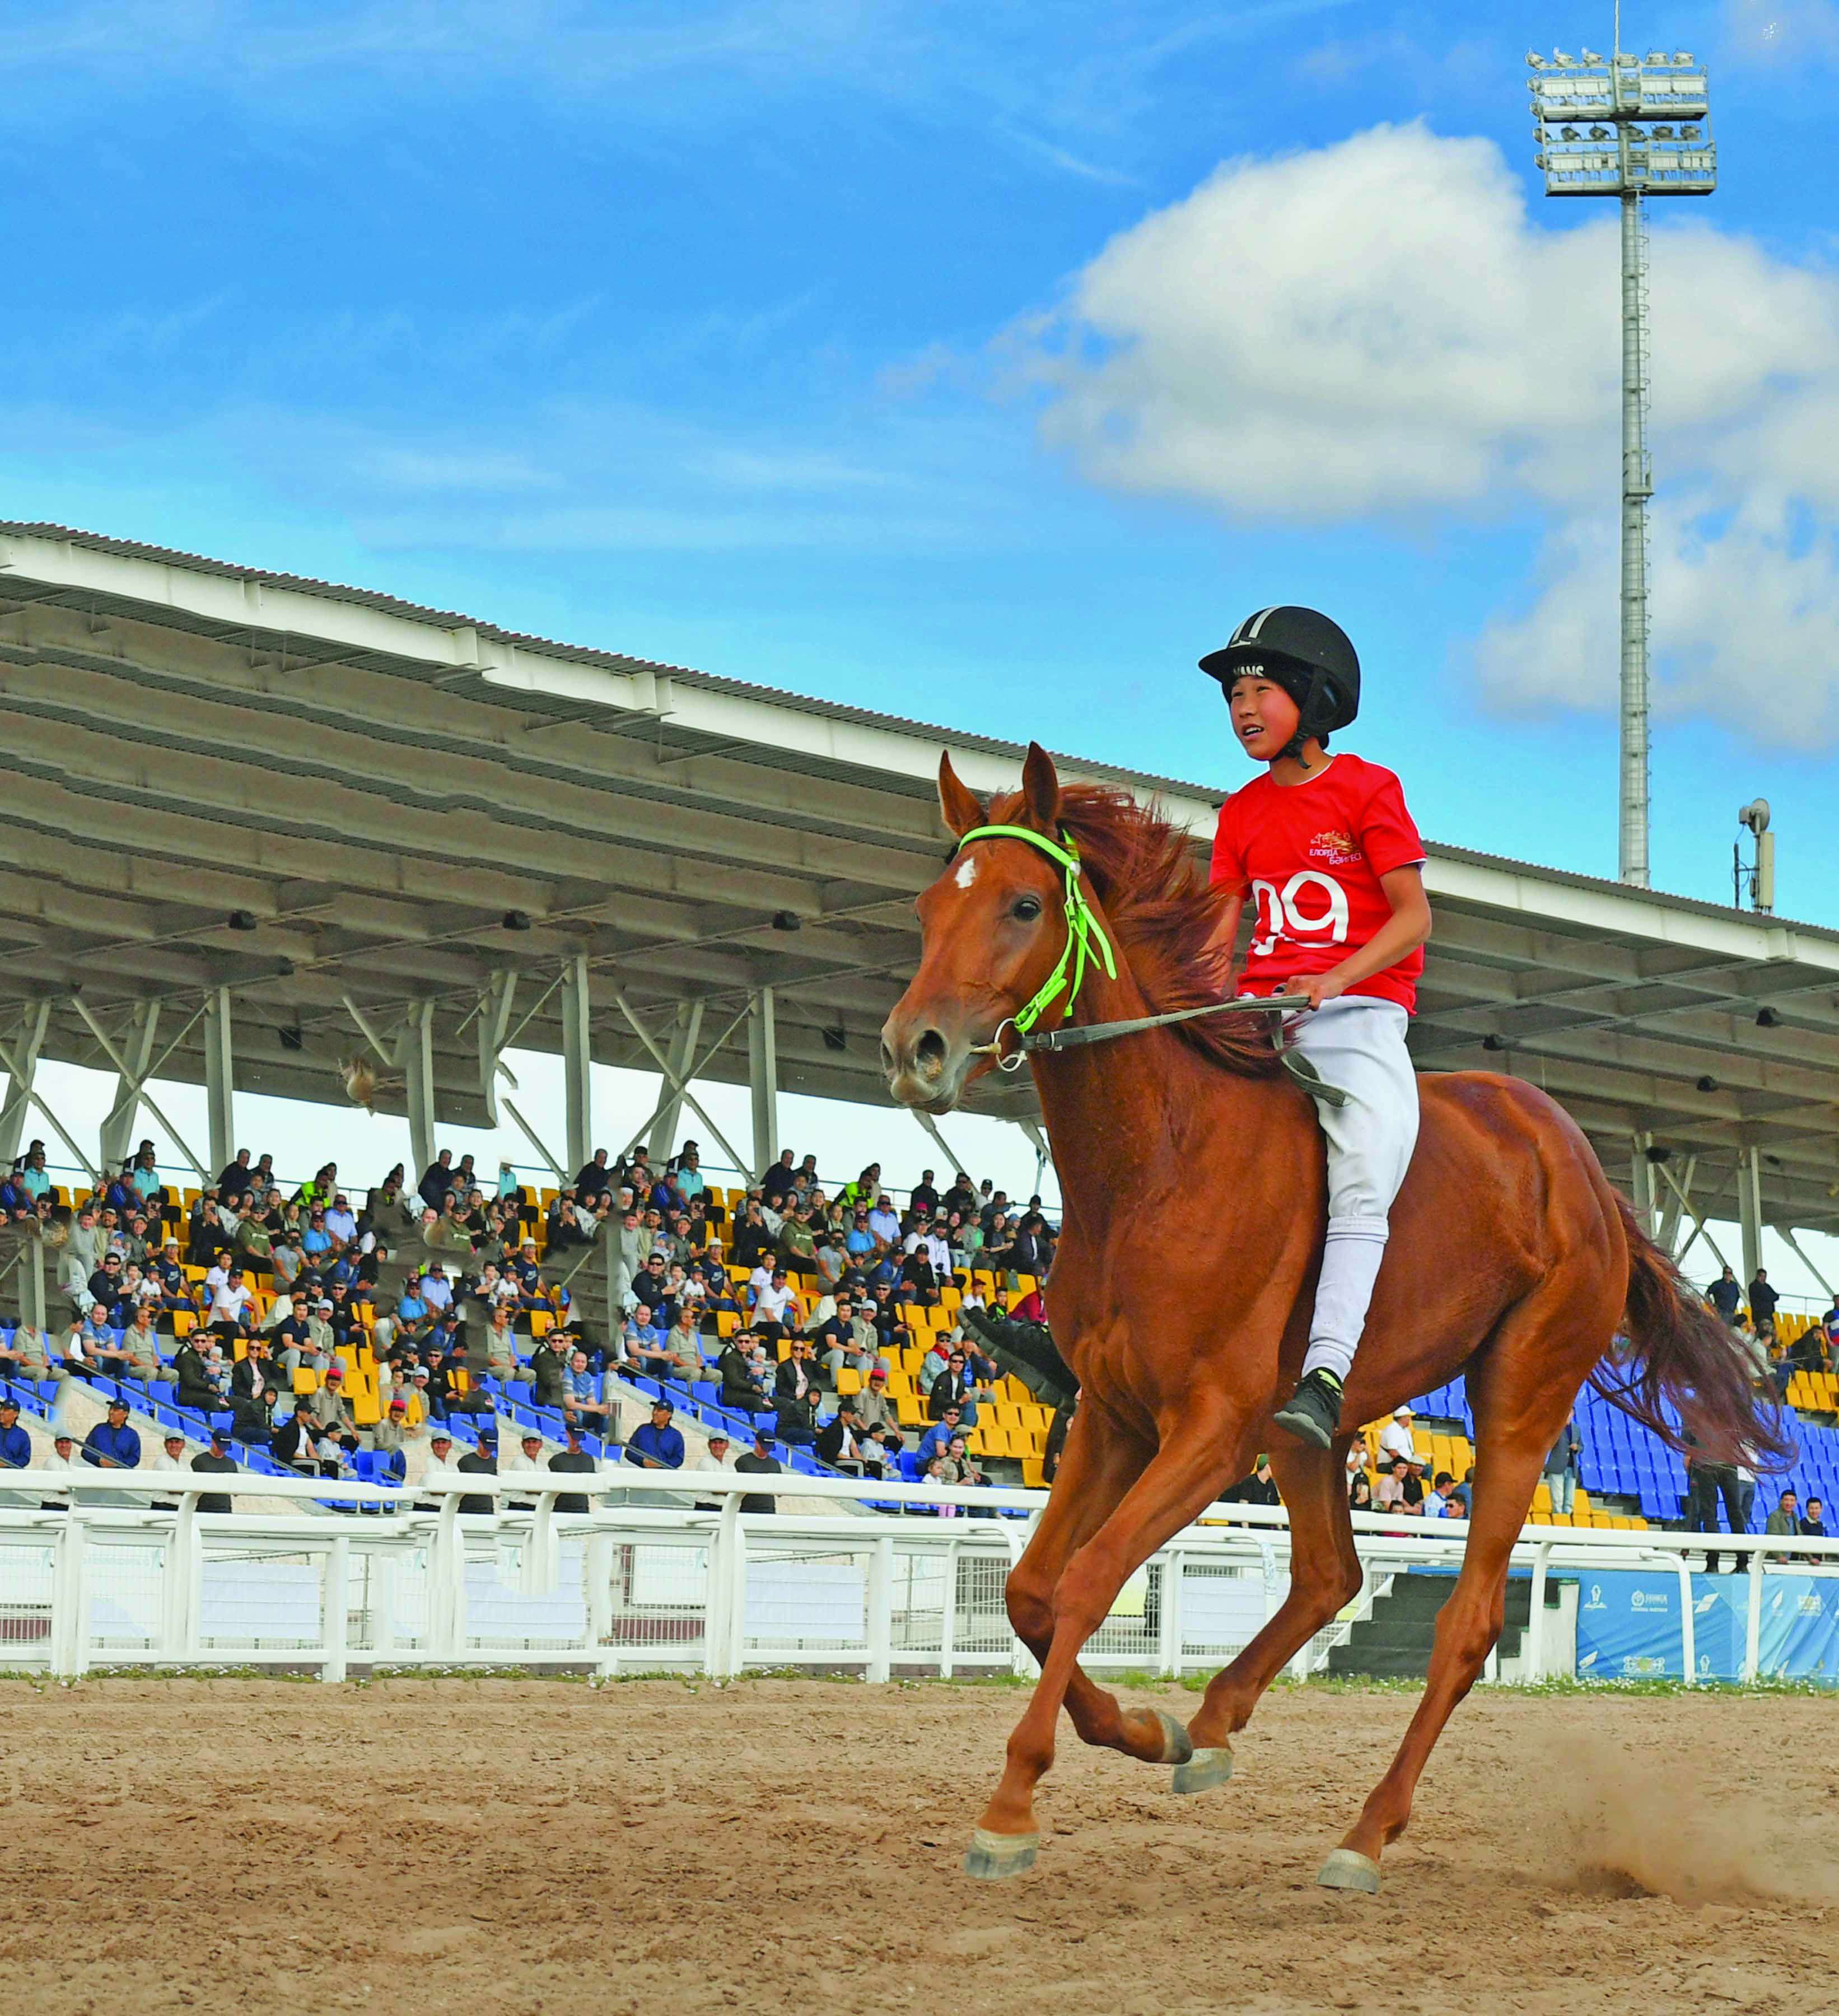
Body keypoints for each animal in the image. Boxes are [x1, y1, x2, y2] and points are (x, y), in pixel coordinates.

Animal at [883, 741, 1790, 1887]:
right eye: (928, 907)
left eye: (1021, 904)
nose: (913, 1048)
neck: (1156, 1165)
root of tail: (1577, 1161)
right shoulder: (1113, 1417)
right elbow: (1031, 1594)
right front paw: (1143, 1731)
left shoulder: (1210, 1433)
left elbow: (1086, 1584)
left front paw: (1010, 1810)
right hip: (1310, 1425)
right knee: (1328, 1573)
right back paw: (1211, 1726)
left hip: (1517, 1399)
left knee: (1464, 1622)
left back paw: (1365, 1831)